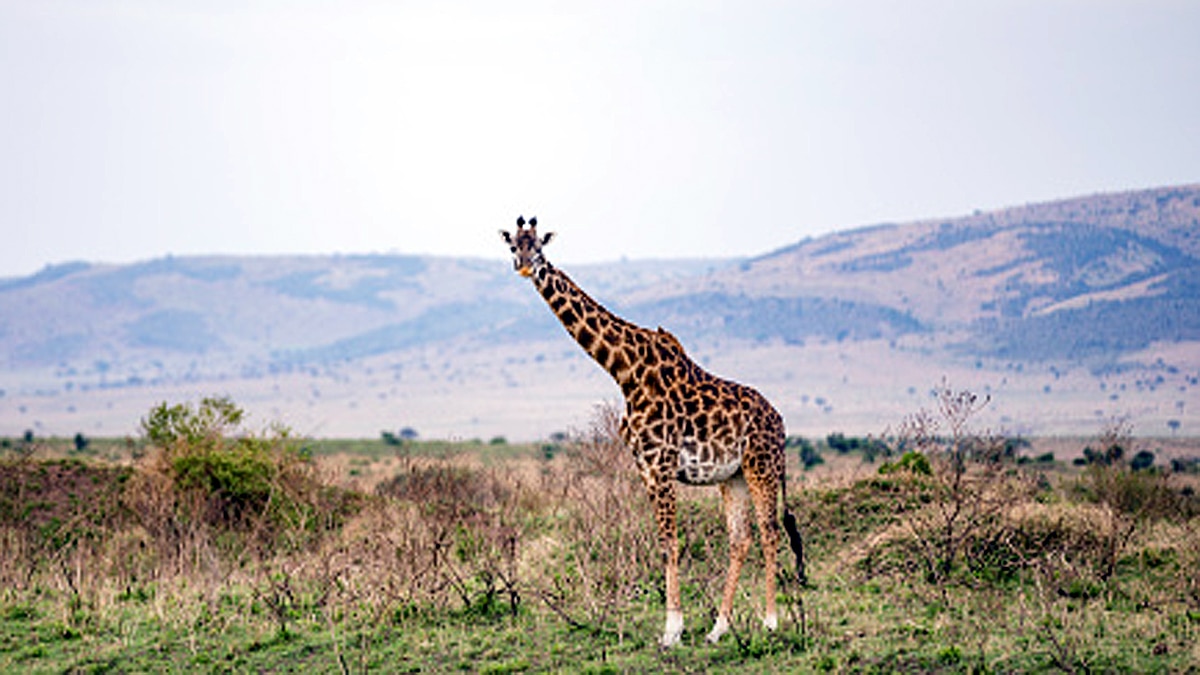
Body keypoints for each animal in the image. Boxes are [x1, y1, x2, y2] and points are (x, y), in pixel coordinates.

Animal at [500, 216, 805, 647]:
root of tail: (780, 421)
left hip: (761, 465)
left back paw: (771, 622)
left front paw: (671, 630)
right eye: (514, 246)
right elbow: (664, 543)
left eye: (539, 247)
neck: (623, 370)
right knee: (740, 539)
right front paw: (680, 626)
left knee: (769, 532)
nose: (526, 267)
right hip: (732, 476)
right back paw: (718, 628)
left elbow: (669, 542)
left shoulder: (661, 464)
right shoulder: (644, 466)